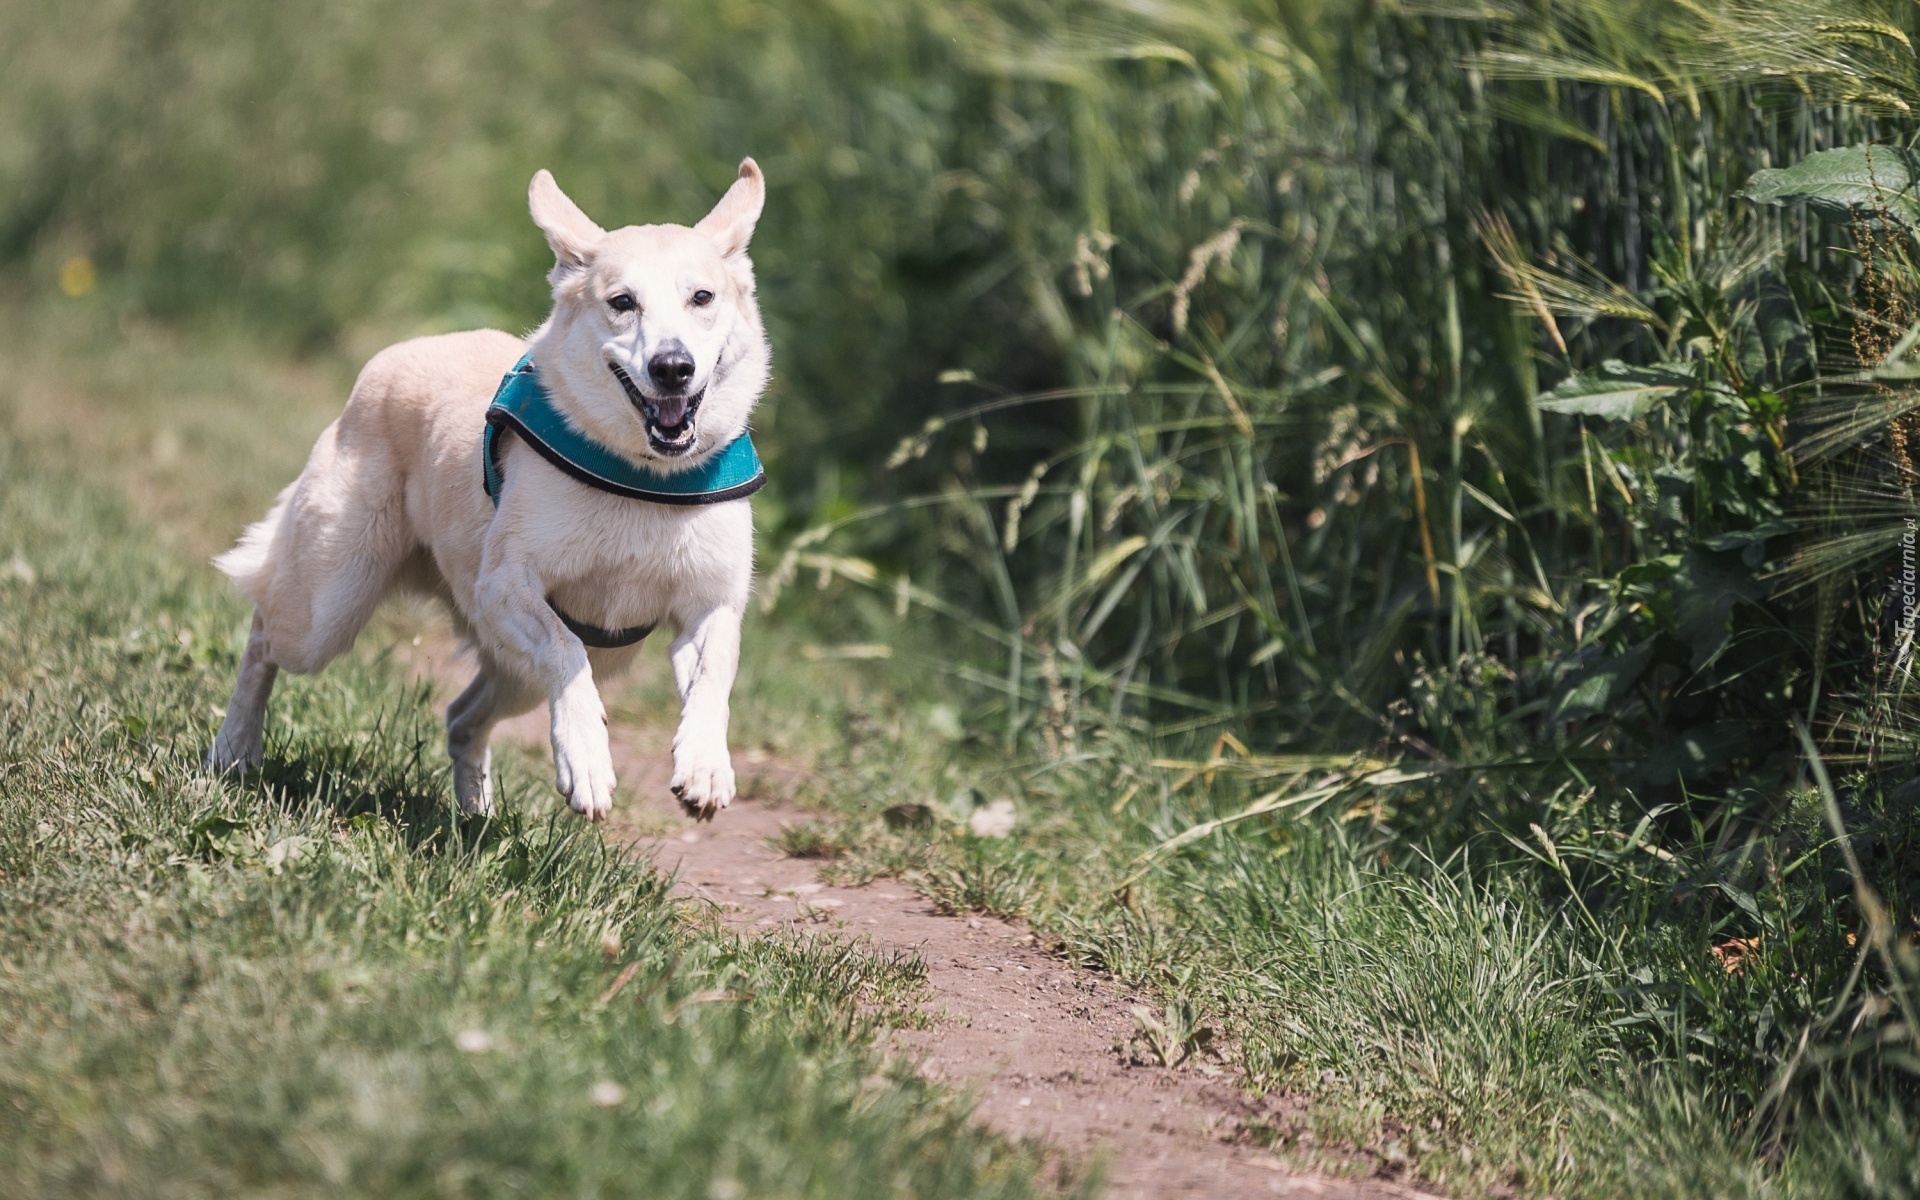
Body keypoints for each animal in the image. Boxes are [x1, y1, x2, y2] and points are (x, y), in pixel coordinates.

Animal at [206, 159, 768, 817]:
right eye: (622, 302)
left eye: (702, 297)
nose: (673, 368)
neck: (644, 479)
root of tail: (396, 355)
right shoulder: (505, 587)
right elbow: (565, 651)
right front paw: (587, 761)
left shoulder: (710, 606)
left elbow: (714, 677)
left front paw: (704, 766)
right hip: (327, 609)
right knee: (263, 636)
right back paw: (233, 750)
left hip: (512, 673)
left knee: (461, 716)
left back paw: (475, 815)